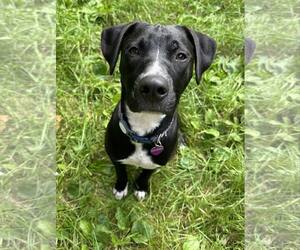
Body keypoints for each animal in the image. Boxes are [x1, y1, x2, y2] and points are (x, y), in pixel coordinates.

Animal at [100, 21, 216, 201]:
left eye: (181, 55)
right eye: (133, 50)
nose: (153, 87)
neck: (144, 125)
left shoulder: (156, 163)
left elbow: (146, 174)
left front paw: (141, 188)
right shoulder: (115, 156)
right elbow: (121, 172)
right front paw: (120, 187)